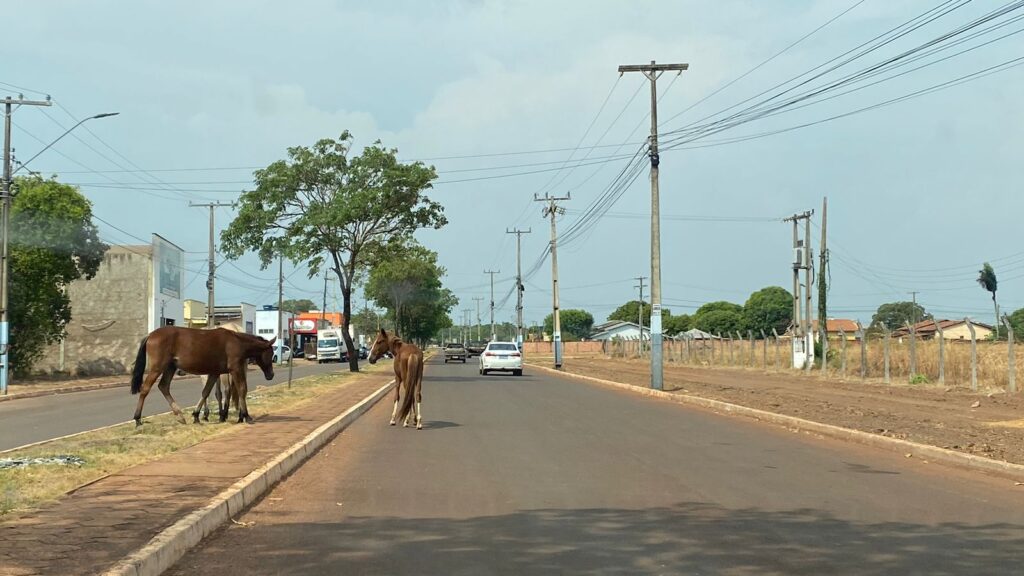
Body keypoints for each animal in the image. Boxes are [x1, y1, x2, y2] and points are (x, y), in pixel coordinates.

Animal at [132, 325, 276, 424]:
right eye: (271, 354)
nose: (271, 375)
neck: (237, 341)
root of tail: (150, 335)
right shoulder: (235, 369)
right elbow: (242, 389)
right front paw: (246, 415)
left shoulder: (214, 372)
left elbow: (206, 392)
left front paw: (196, 415)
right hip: (158, 368)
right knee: (145, 388)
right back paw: (138, 418)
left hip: (170, 367)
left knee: (163, 386)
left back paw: (181, 415)